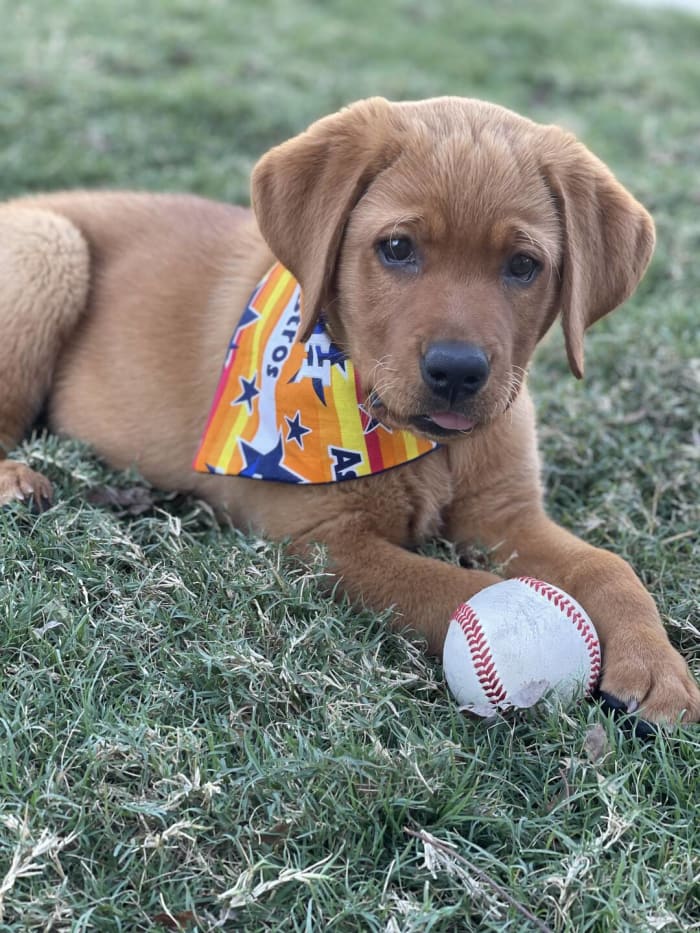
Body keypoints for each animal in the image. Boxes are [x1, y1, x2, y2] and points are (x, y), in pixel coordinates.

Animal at [0, 94, 696, 720]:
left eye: (524, 265)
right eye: (397, 248)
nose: (457, 371)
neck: (420, 442)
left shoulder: (507, 516)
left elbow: (607, 565)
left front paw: (655, 666)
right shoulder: (325, 540)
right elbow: (459, 586)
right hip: (51, 246)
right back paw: (17, 480)